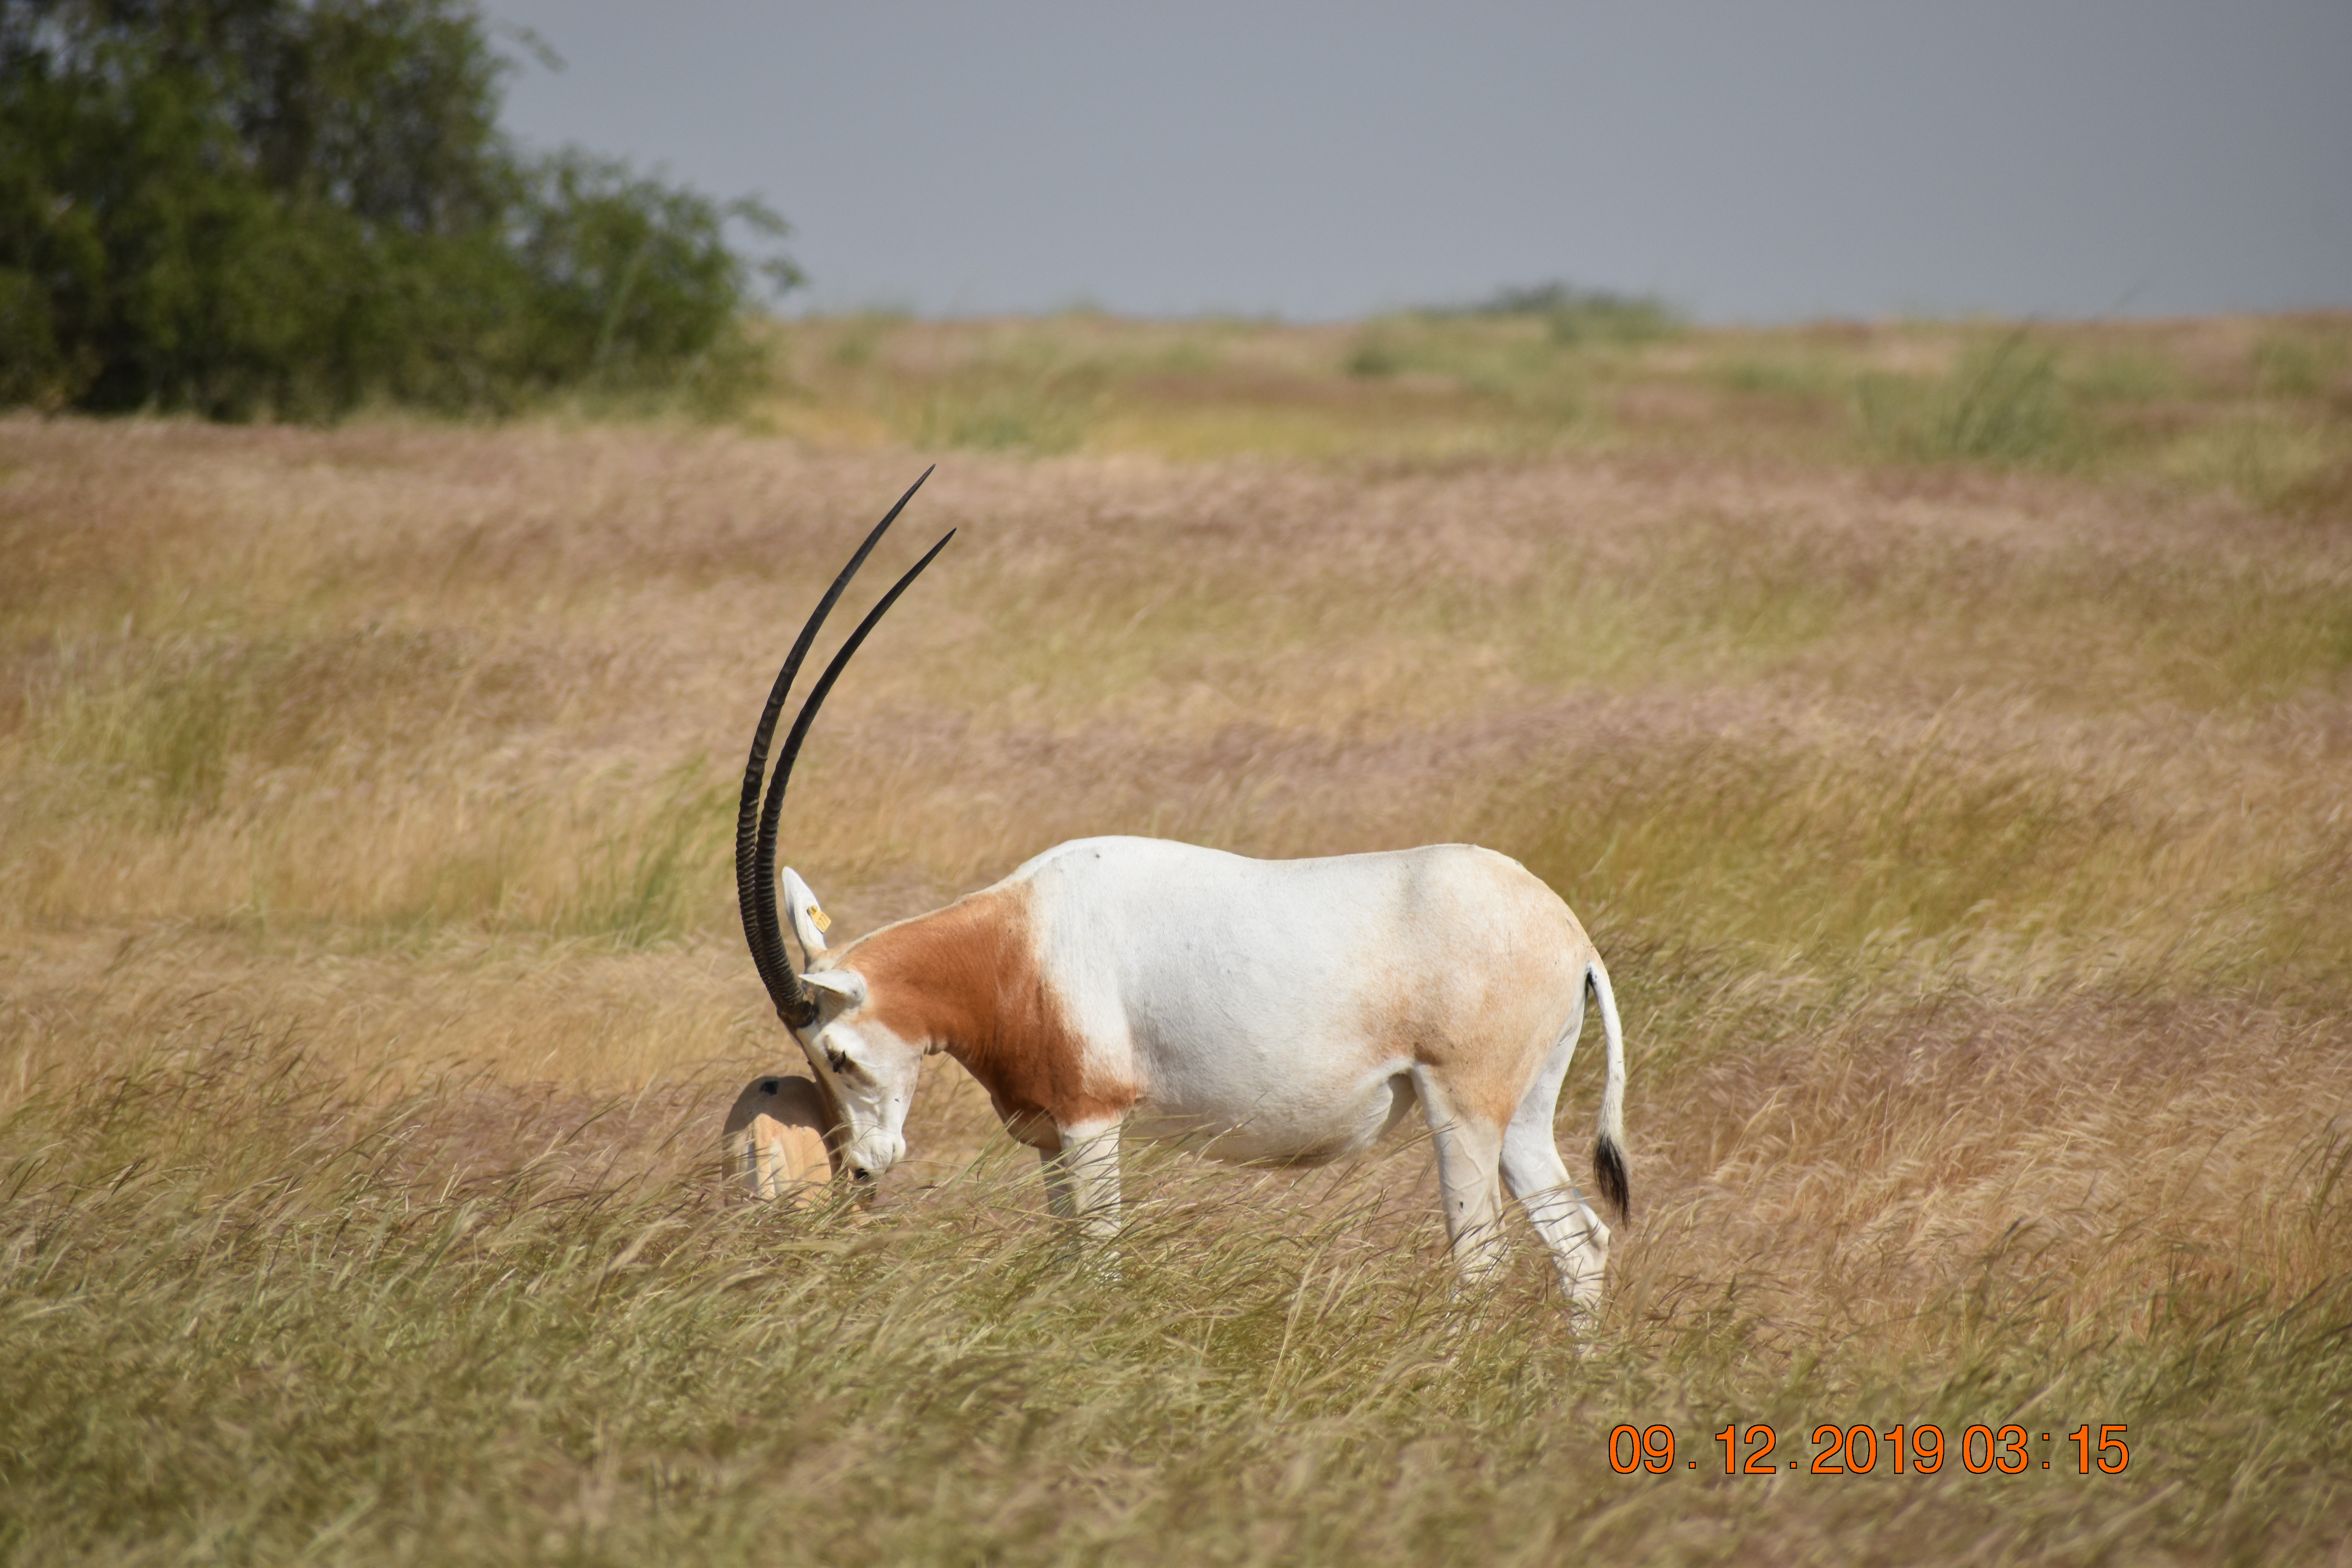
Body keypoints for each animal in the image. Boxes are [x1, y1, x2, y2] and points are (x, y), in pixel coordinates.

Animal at [743, 475, 1628, 1316]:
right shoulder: (1051, 1139)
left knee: (1482, 1260)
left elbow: (1099, 1265)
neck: (1012, 943)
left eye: (837, 1053)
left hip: (1462, 1109)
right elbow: (1067, 1259)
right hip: (1523, 1114)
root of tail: (1570, 934)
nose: (864, 1168)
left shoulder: (1092, 1123)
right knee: (1580, 1239)